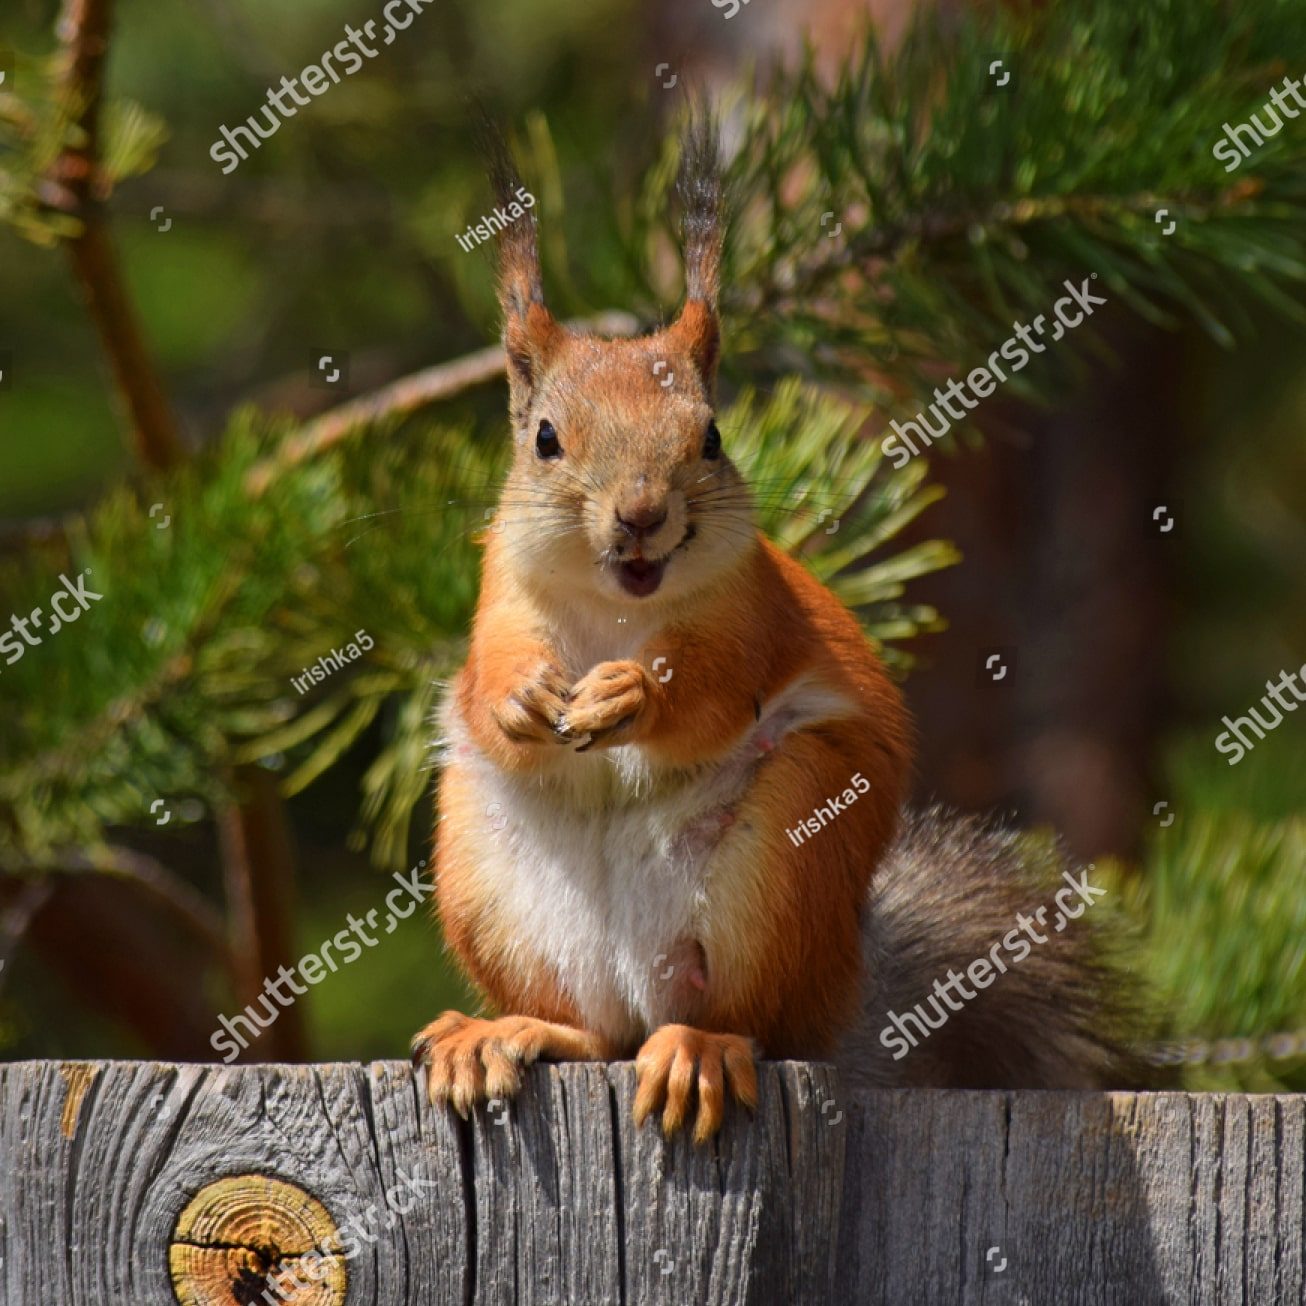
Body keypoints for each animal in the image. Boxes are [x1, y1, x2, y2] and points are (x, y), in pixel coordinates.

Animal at [411, 115, 1144, 1142]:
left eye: (711, 438)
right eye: (545, 438)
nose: (642, 514)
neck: (617, 607)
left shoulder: (753, 611)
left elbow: (713, 688)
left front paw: (631, 692)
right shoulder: (500, 599)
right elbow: (485, 676)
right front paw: (524, 697)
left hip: (787, 853)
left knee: (749, 1021)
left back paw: (702, 1050)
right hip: (487, 873)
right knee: (592, 1032)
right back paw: (504, 1032)